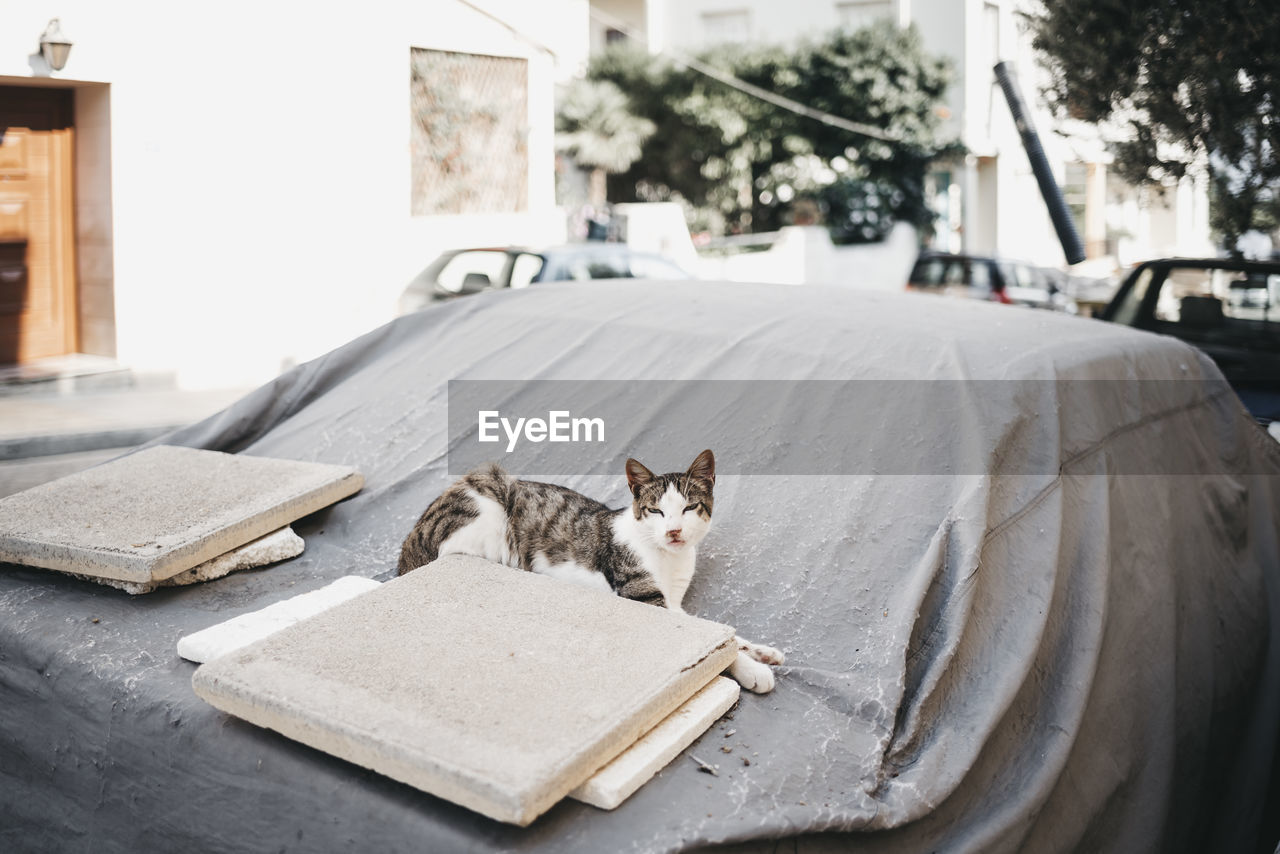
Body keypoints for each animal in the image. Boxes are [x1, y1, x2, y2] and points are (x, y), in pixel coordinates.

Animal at [394, 448, 783, 696]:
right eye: (656, 511)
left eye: (689, 508)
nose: (674, 531)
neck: (669, 559)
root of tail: (410, 546)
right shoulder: (643, 599)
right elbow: (707, 640)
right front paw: (752, 668)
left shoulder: (672, 603)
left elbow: (716, 633)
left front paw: (760, 652)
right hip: (490, 500)